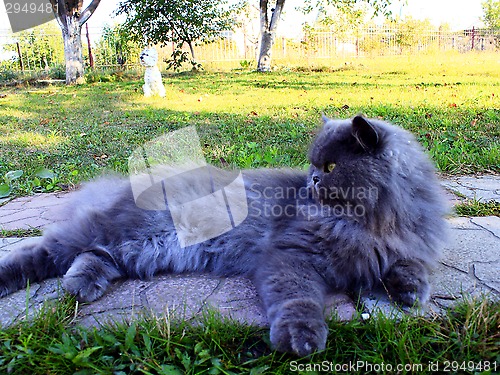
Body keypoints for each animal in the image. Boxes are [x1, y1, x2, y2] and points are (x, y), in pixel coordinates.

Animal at [0, 116, 446, 356]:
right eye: (315, 165)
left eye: (332, 167)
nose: (313, 180)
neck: (370, 221)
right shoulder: (290, 255)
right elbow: (298, 300)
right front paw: (301, 339)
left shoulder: (405, 245)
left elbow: (411, 266)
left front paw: (411, 292)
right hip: (116, 231)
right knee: (42, 252)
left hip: (138, 250)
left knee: (96, 256)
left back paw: (79, 286)